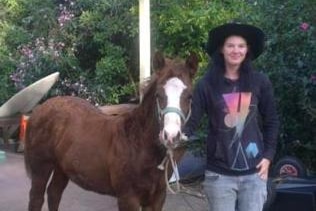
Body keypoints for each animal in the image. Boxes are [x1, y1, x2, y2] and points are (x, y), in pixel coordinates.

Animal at [24, 51, 198, 211]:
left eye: (190, 96)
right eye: (158, 94)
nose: (171, 136)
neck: (138, 144)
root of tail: (40, 109)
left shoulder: (157, 198)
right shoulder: (128, 198)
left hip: (62, 168)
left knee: (54, 193)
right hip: (41, 167)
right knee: (36, 198)